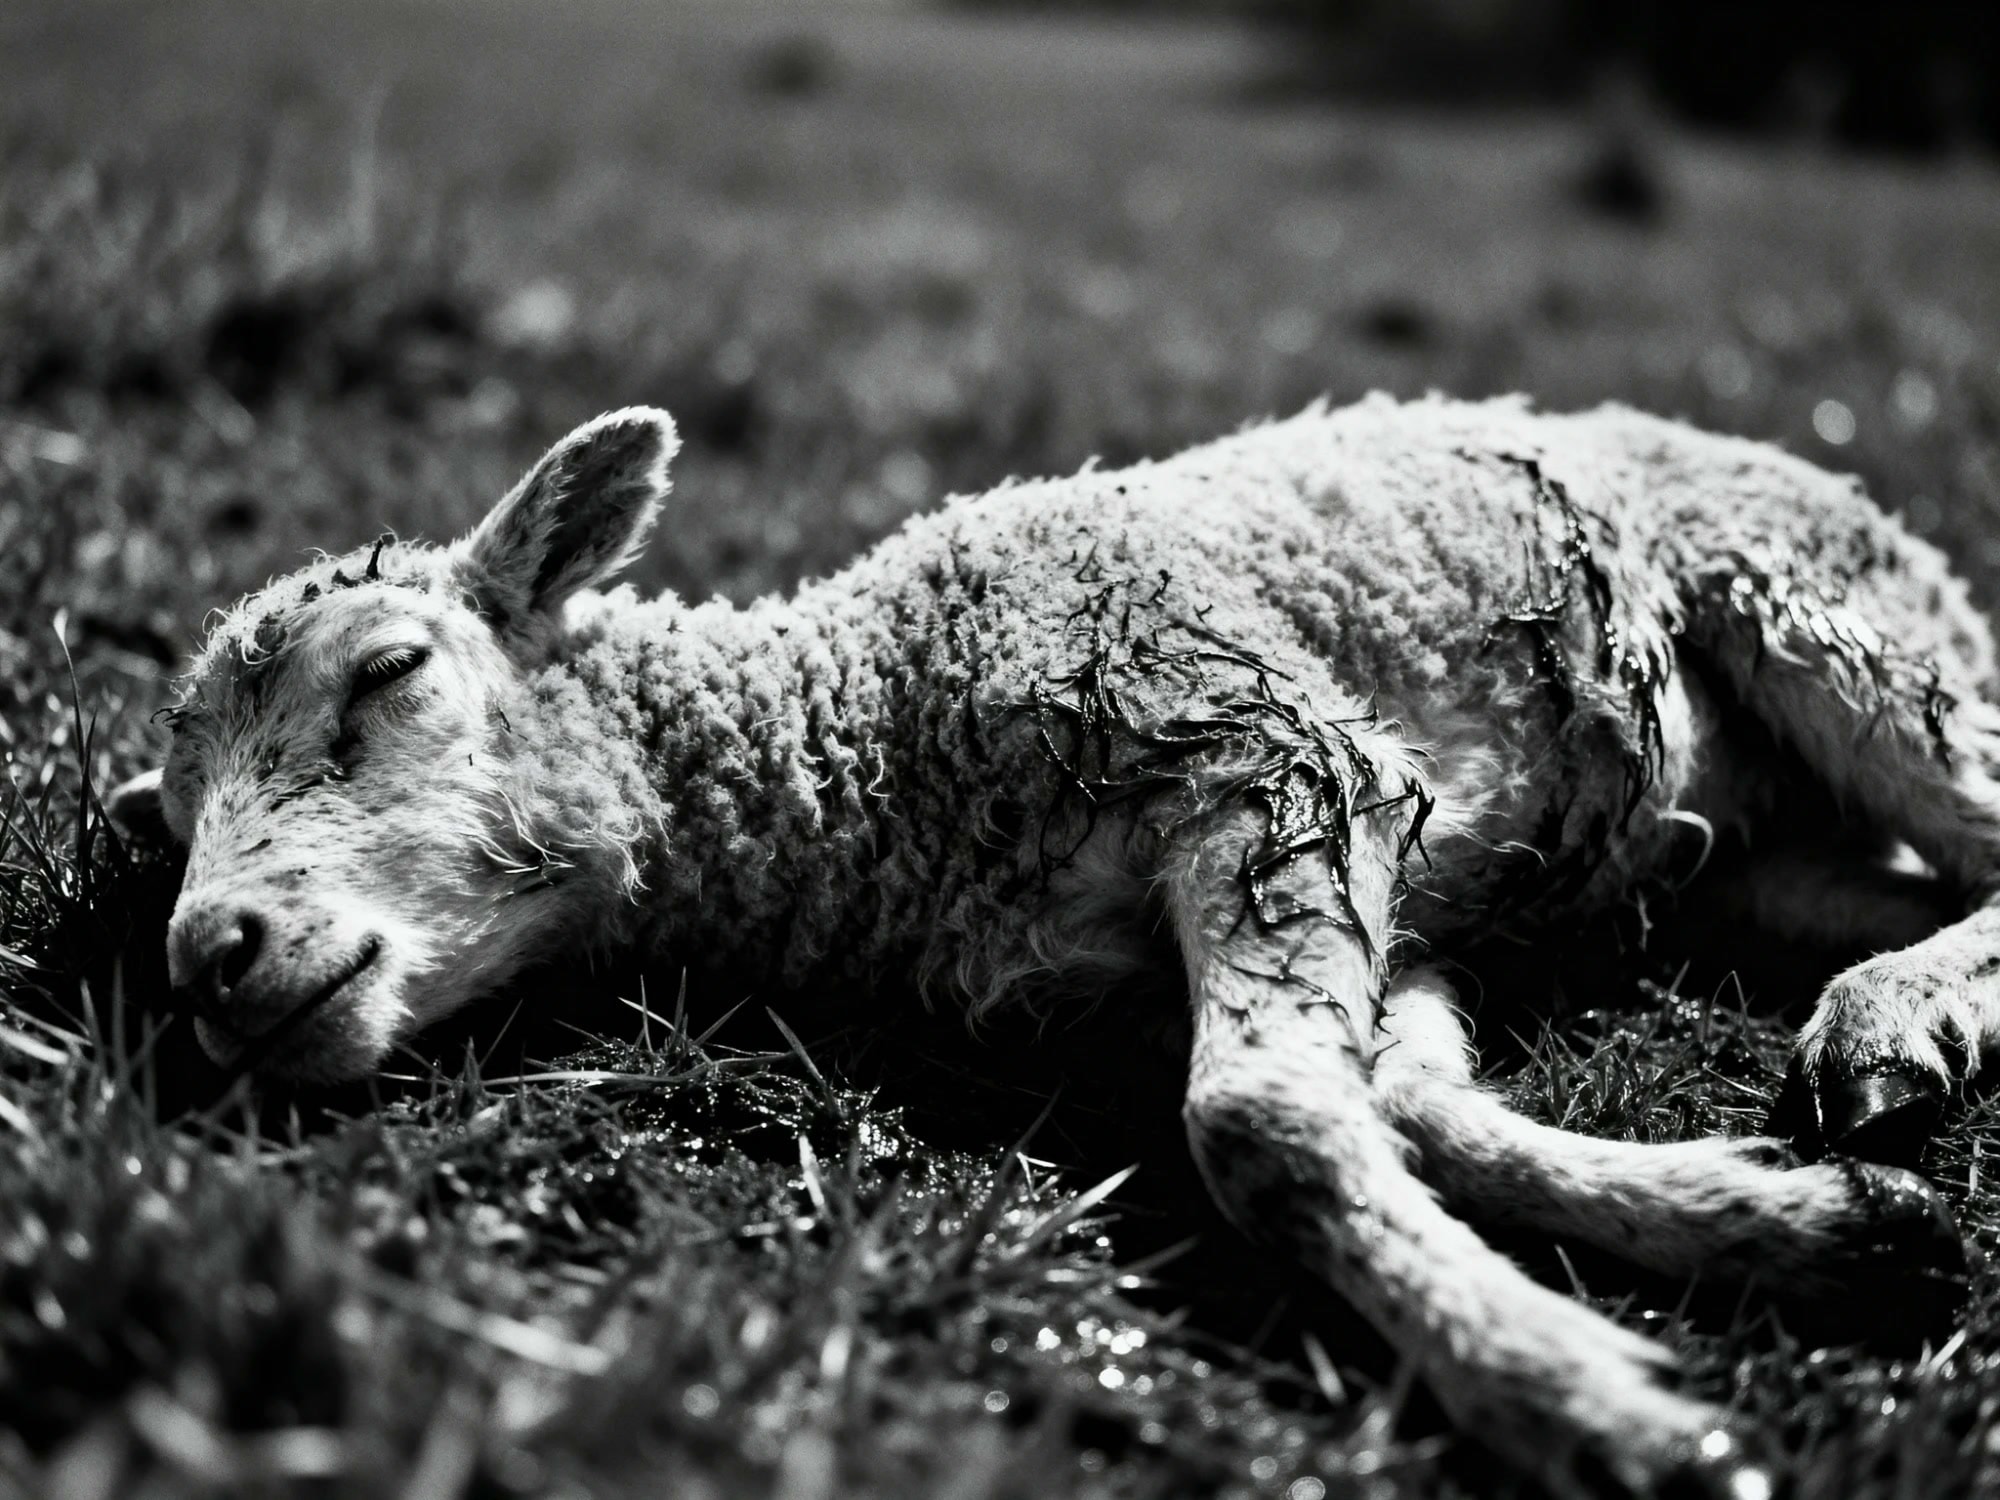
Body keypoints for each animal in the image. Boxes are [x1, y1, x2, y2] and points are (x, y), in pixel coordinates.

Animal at [111, 392, 1998, 1497]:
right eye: (172, 814)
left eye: (390, 670)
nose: (213, 959)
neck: (873, 746)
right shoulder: (1339, 902)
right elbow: (1404, 1100)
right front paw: (1806, 1225)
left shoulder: (1270, 751)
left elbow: (1269, 1121)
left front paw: (1587, 1402)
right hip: (1755, 851)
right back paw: (1891, 1028)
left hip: (1835, 613)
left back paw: (1884, 1029)